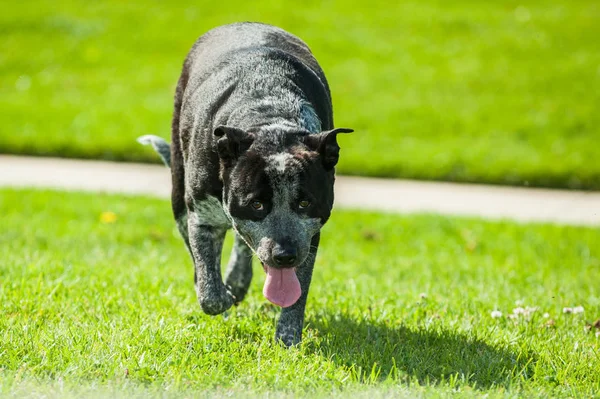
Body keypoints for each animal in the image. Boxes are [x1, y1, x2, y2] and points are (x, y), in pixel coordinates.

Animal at [139, 22, 354, 346]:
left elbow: (297, 295)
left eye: (304, 202)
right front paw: (223, 296)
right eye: (257, 204)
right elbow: (210, 293)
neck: (270, 116)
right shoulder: (202, 218)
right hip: (178, 192)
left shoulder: (310, 236)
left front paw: (287, 340)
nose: (284, 255)